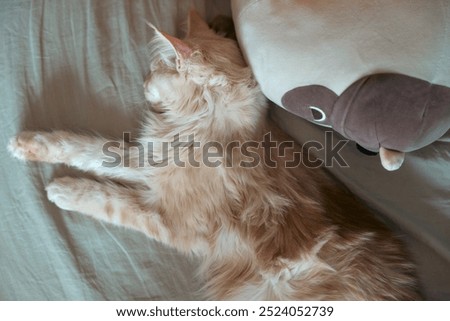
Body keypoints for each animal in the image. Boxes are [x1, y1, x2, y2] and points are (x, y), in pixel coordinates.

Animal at [7, 11, 418, 298]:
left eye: (154, 69)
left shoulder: (170, 217)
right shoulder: (149, 161)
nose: (142, 81)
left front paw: (63, 189)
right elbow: (82, 146)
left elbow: (107, 197)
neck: (206, 129)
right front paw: (27, 143)